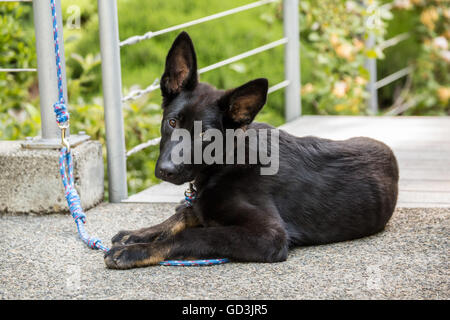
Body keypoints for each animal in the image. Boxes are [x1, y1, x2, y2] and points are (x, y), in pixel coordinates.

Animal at [104, 32, 398, 268]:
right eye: (172, 122)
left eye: (205, 135)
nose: (166, 171)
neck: (225, 164)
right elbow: (183, 215)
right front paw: (138, 234)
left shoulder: (269, 235)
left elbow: (194, 233)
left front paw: (137, 250)